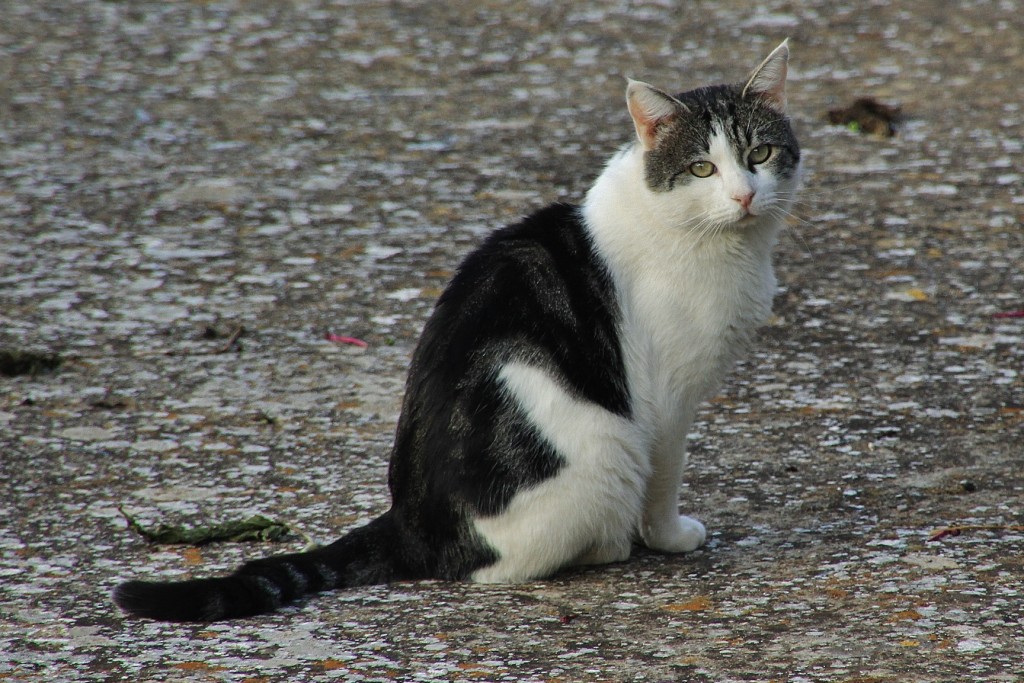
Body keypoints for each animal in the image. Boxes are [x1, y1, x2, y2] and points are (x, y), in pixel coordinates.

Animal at [112, 40, 798, 622]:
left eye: (759, 156)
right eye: (702, 168)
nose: (743, 196)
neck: (723, 244)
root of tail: (410, 518)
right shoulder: (668, 401)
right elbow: (666, 477)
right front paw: (671, 536)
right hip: (607, 447)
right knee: (490, 570)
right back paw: (606, 545)